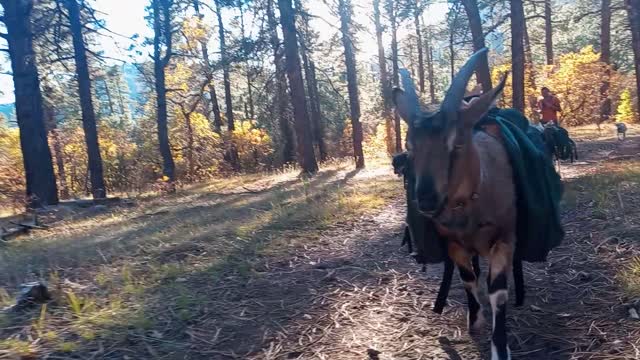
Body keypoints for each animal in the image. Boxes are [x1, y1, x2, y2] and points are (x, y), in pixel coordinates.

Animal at [396, 48, 520, 360]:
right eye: (410, 146)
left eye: (458, 143)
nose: (426, 199)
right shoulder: (451, 240)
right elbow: (467, 277)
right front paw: (474, 320)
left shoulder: (505, 236)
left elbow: (498, 291)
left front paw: (500, 347)